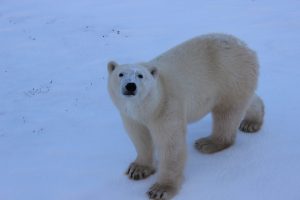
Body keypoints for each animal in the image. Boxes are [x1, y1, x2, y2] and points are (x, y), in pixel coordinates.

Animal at [106, 33, 264, 199]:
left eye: (140, 75)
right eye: (120, 74)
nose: (130, 86)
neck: (148, 107)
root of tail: (247, 48)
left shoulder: (166, 106)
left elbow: (171, 144)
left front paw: (161, 189)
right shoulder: (131, 116)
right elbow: (139, 136)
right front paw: (138, 169)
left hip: (231, 75)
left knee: (226, 113)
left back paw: (208, 143)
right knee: (245, 101)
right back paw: (251, 122)